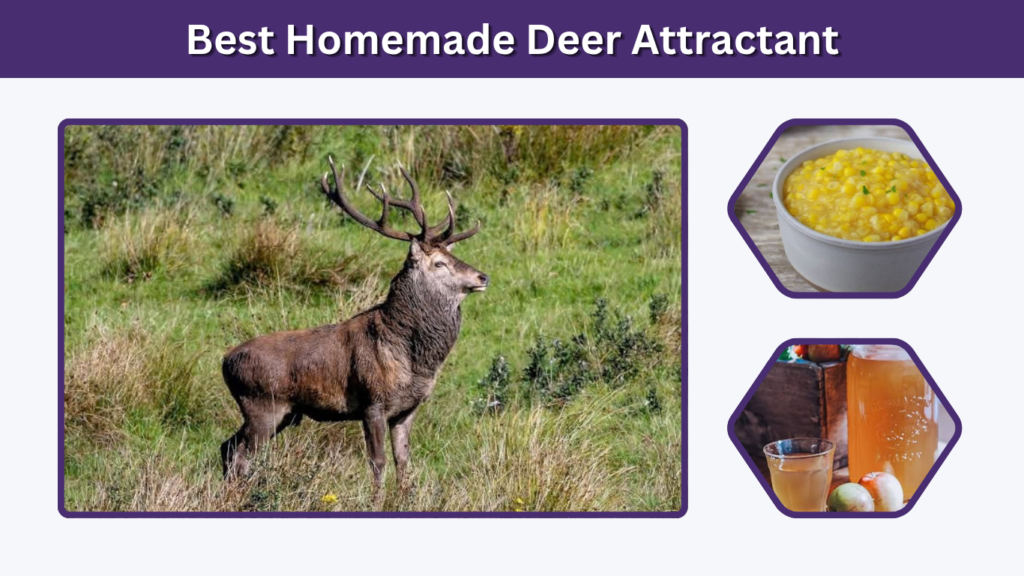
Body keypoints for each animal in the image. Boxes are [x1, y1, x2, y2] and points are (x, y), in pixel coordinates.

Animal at [220, 153, 488, 497]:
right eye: (439, 263)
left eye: (454, 256)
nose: (482, 276)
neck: (414, 361)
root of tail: (225, 361)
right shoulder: (372, 401)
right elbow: (378, 461)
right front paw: (377, 500)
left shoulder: (407, 409)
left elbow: (404, 460)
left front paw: (404, 496)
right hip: (262, 404)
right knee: (239, 453)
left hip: (285, 414)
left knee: (227, 445)